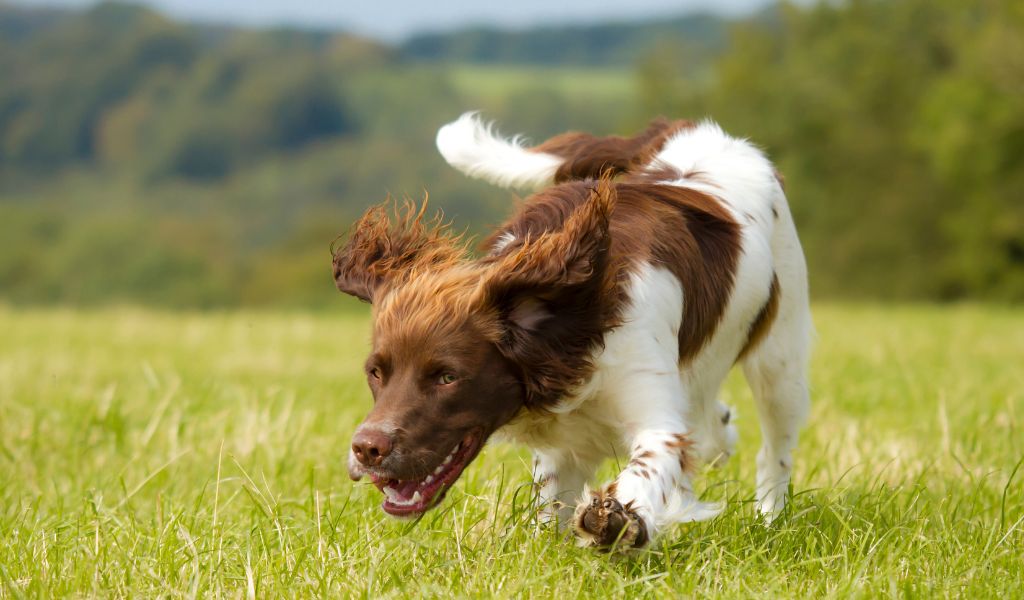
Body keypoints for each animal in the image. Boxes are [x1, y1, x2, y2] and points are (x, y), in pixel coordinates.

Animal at [331, 112, 811, 544]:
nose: (366, 449)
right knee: (712, 426)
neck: (571, 328)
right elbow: (550, 508)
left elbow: (649, 466)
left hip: (781, 362)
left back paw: (769, 520)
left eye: (448, 377)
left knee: (773, 451)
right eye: (376, 373)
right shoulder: (565, 445)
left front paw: (619, 520)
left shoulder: (654, 413)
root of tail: (688, 128)